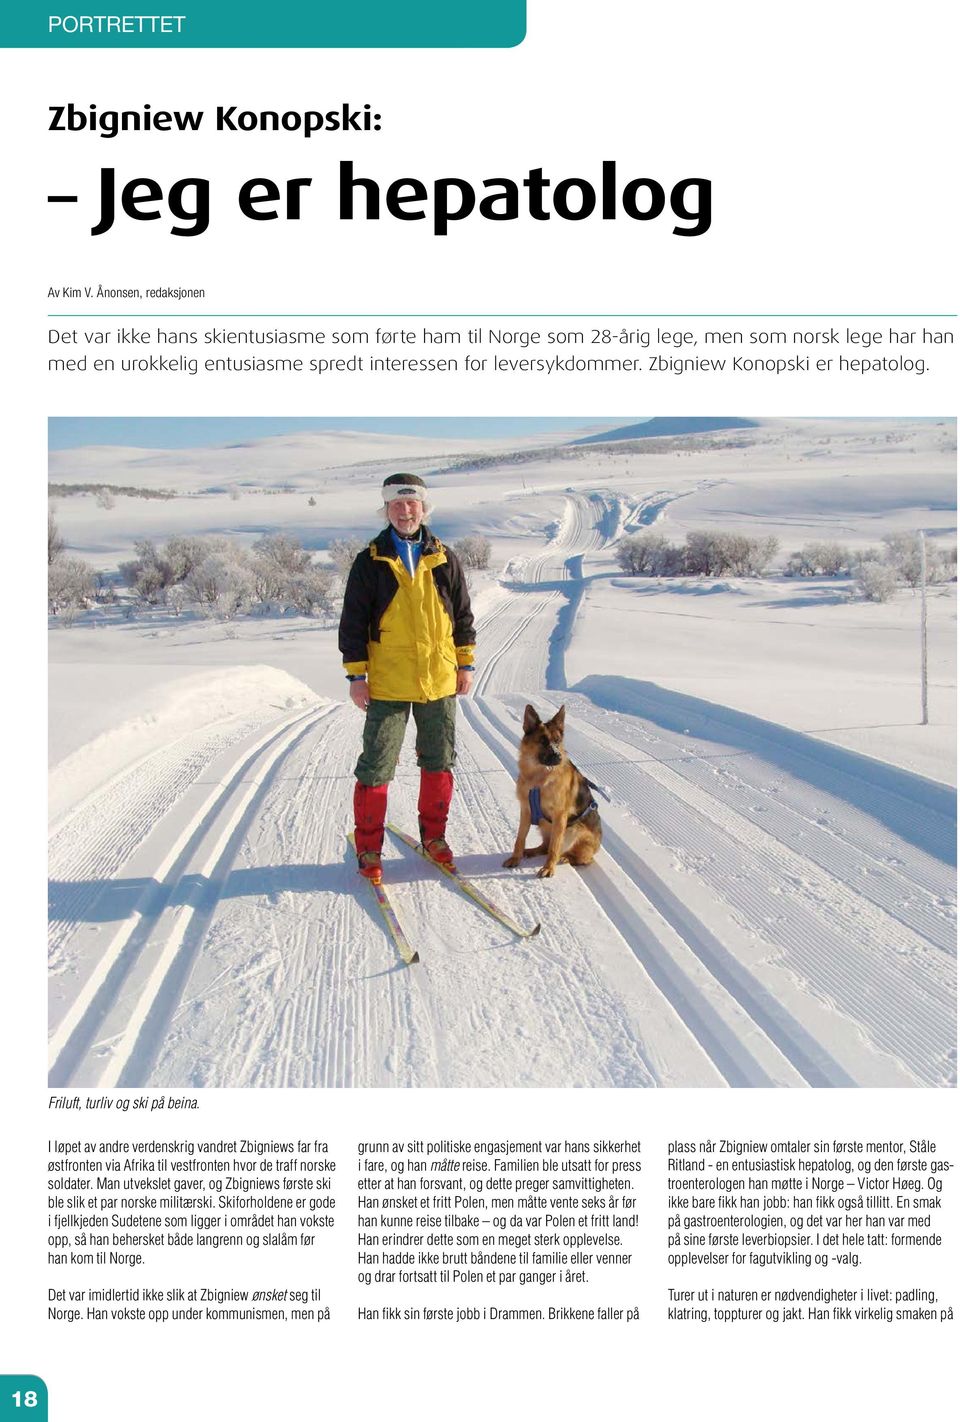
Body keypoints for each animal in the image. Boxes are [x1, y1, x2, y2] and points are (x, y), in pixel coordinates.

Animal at [503, 702, 600, 875]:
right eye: (542, 740)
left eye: (557, 740)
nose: (558, 757)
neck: (539, 777)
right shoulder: (526, 810)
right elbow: (520, 838)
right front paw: (515, 858)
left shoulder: (560, 817)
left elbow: (554, 847)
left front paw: (548, 868)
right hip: (545, 824)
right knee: (544, 846)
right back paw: (531, 851)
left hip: (574, 829)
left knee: (582, 858)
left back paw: (566, 857)